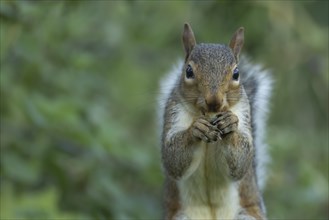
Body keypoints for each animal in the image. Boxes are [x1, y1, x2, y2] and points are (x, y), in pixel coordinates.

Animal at [156, 23, 272, 219]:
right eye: (188, 71)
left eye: (236, 73)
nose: (214, 101)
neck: (207, 114)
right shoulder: (174, 111)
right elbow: (172, 157)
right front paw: (196, 129)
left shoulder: (244, 112)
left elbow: (240, 163)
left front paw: (230, 124)